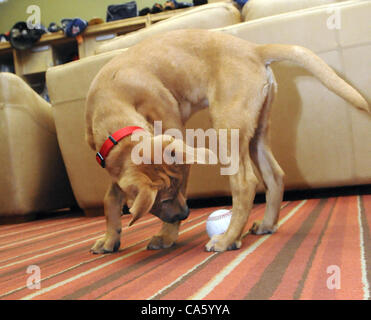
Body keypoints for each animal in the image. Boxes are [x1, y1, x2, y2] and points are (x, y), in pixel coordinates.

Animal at [86, 28, 370, 254]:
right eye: (163, 201)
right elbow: (110, 198)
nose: (186, 214)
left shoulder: (176, 137)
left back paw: (227, 240)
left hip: (228, 128)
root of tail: (254, 50)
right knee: (275, 175)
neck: (112, 103)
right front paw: (109, 239)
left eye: (169, 195)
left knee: (245, 183)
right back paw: (267, 224)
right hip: (256, 131)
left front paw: (166, 237)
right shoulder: (115, 165)